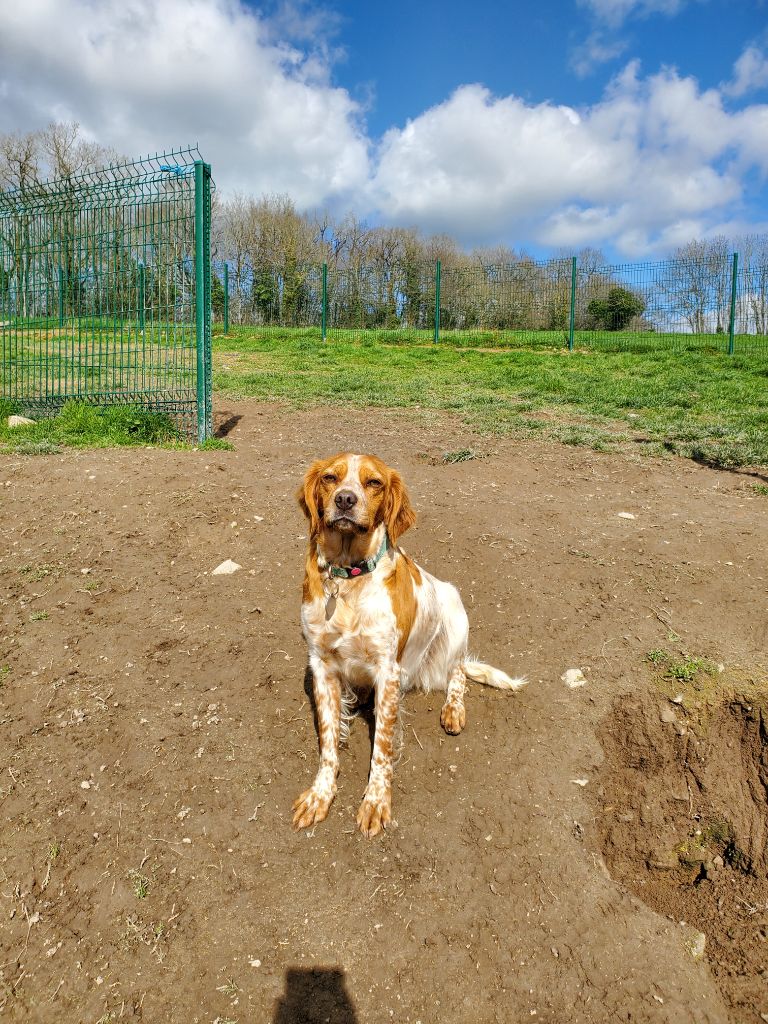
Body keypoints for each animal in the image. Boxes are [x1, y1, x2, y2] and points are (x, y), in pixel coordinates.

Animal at [290, 452, 528, 835]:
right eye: (330, 478)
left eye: (373, 482)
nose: (345, 499)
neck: (347, 578)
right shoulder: (322, 666)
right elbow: (328, 742)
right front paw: (320, 795)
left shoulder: (388, 672)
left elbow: (382, 749)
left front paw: (376, 801)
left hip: (455, 610)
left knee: (458, 672)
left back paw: (453, 709)